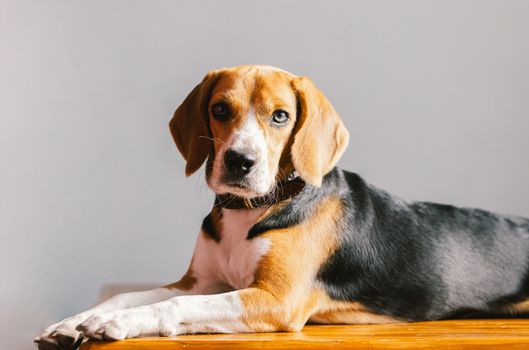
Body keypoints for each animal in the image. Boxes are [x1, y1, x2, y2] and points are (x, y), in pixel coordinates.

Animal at [35, 65, 528, 348]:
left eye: (280, 116)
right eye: (219, 109)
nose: (240, 161)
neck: (250, 209)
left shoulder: (275, 300)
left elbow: (171, 307)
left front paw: (118, 324)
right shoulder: (201, 283)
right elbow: (127, 295)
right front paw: (77, 321)